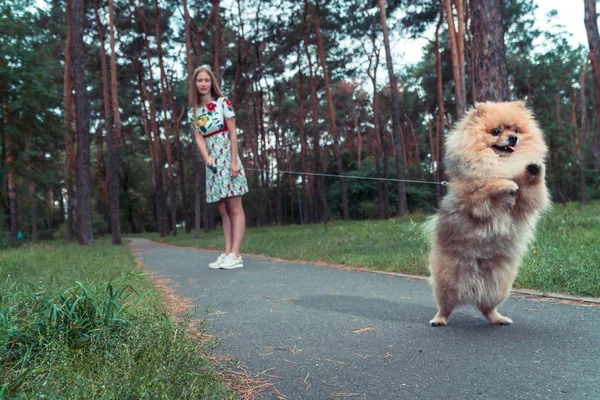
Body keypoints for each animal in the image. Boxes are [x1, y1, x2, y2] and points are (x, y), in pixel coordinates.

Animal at [428, 101, 552, 326]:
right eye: (496, 131)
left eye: (515, 130)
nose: (513, 138)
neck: (502, 163)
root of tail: (473, 289)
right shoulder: (474, 202)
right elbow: (488, 186)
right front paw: (506, 183)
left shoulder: (525, 202)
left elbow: (532, 189)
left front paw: (534, 168)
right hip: (446, 281)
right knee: (445, 305)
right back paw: (439, 320)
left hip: (500, 285)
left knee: (487, 308)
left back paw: (499, 319)